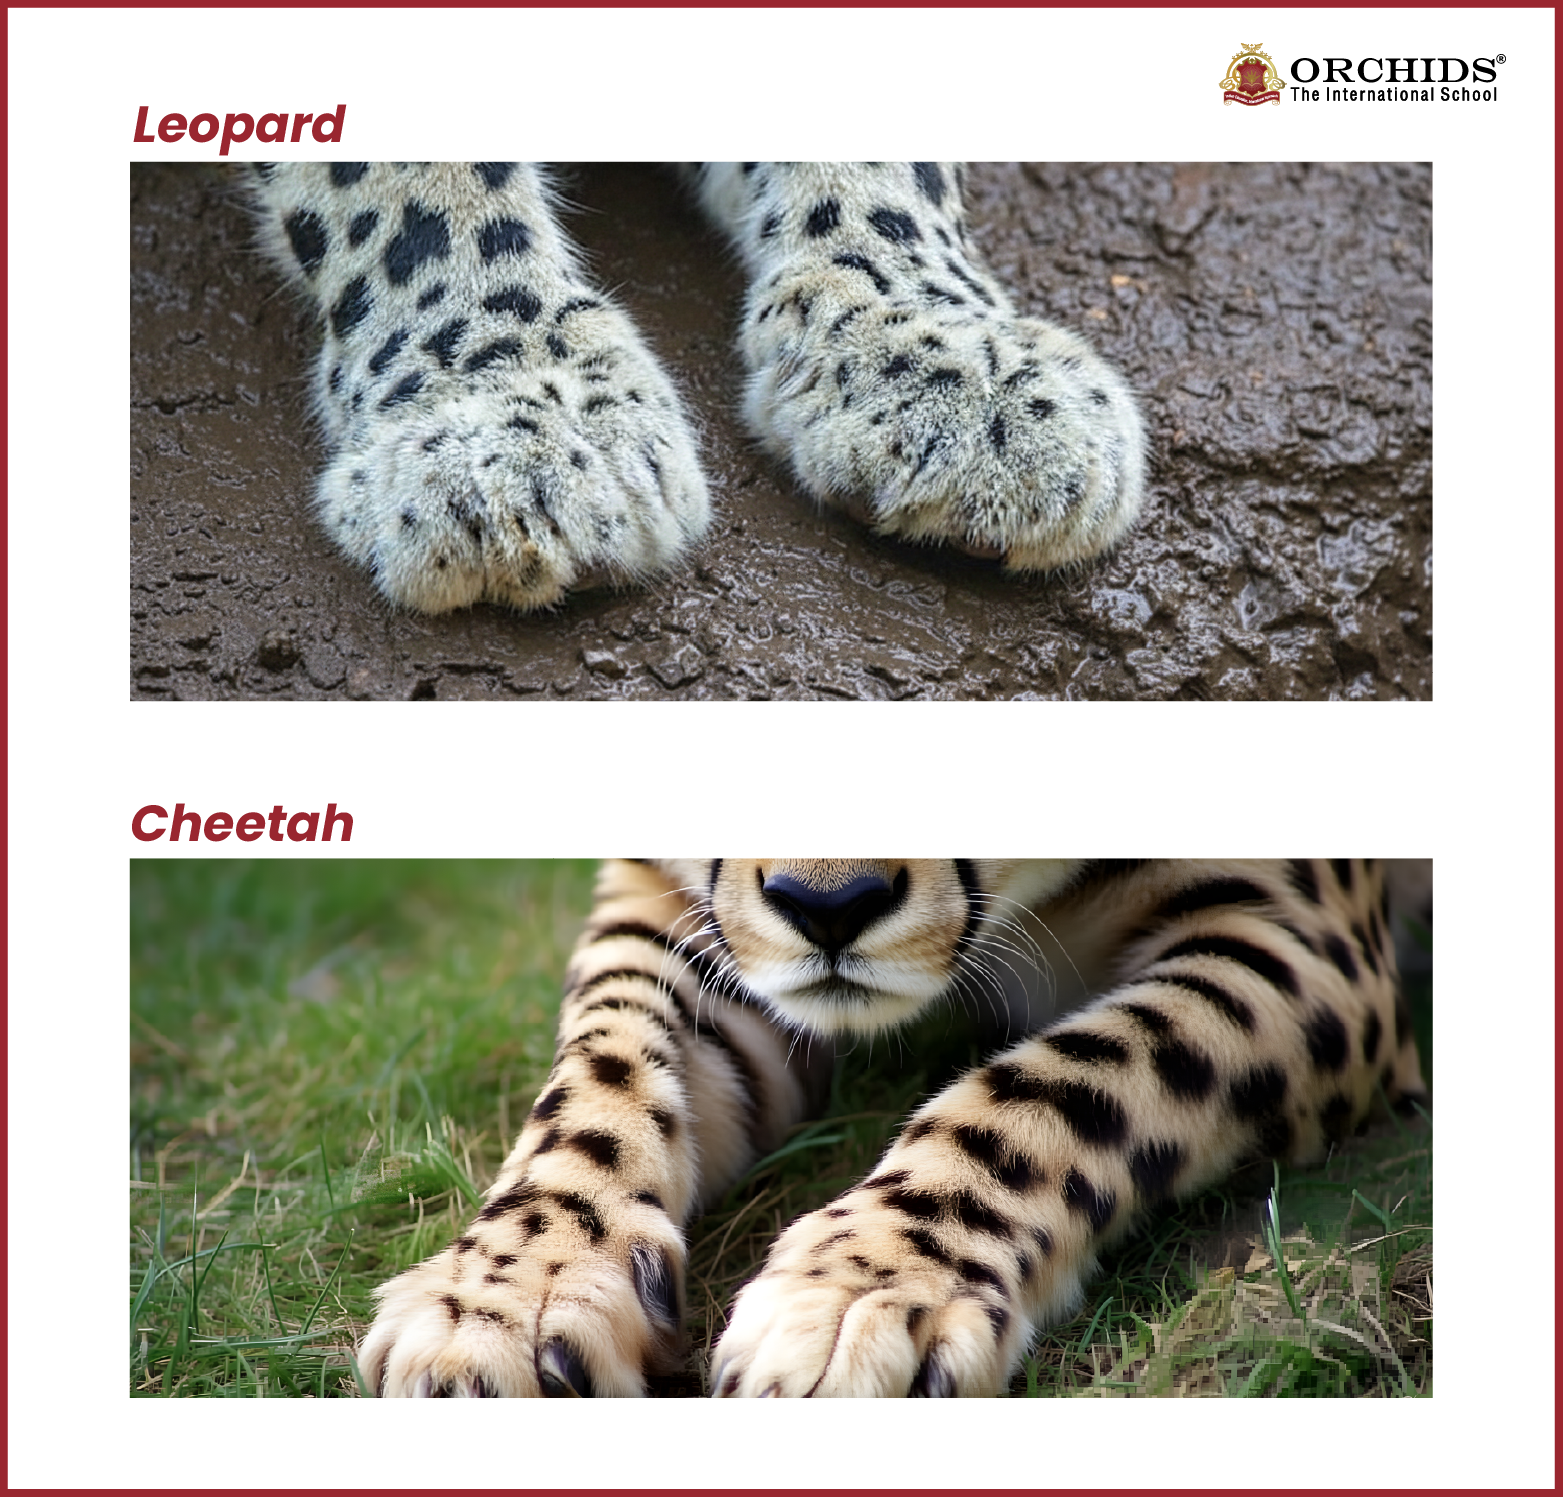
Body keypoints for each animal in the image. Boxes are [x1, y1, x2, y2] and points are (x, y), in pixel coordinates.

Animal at [358, 858, 1427, 1397]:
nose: (829, 907)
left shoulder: (1307, 949)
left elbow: (1069, 1078)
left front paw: (865, 1288)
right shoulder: (681, 906)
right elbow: (604, 1054)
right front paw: (507, 1289)